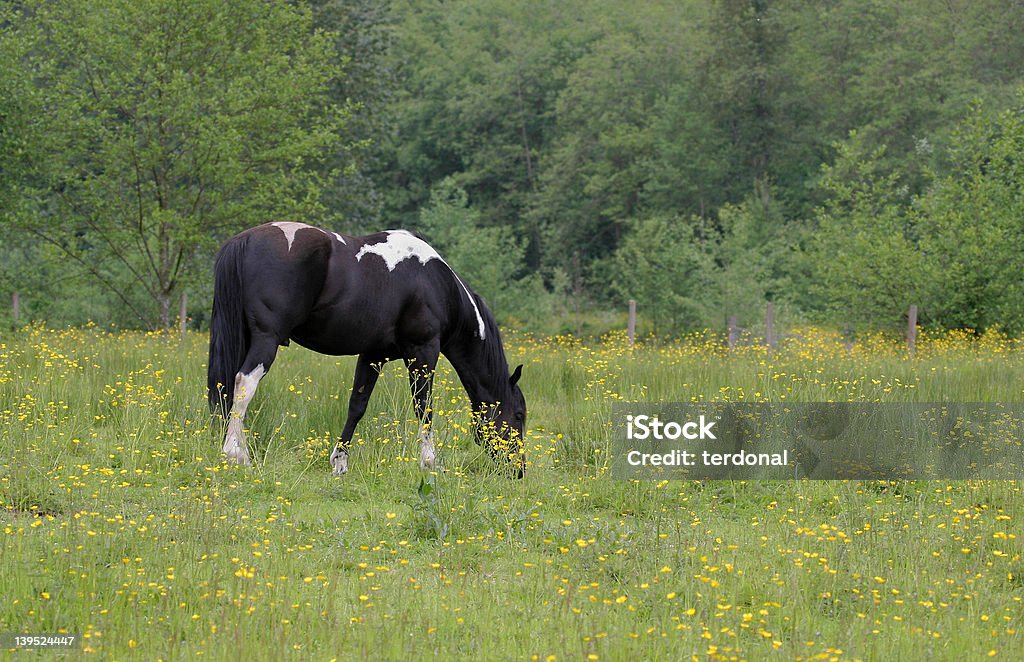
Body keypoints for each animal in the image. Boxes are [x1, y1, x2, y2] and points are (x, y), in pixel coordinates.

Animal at [207, 221, 528, 477]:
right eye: (519, 415)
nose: (519, 470)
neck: (437, 285)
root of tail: (245, 240)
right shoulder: (423, 351)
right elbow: (423, 407)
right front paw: (429, 462)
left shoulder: (373, 355)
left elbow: (357, 407)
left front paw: (340, 462)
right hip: (266, 339)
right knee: (244, 383)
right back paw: (237, 455)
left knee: (226, 388)